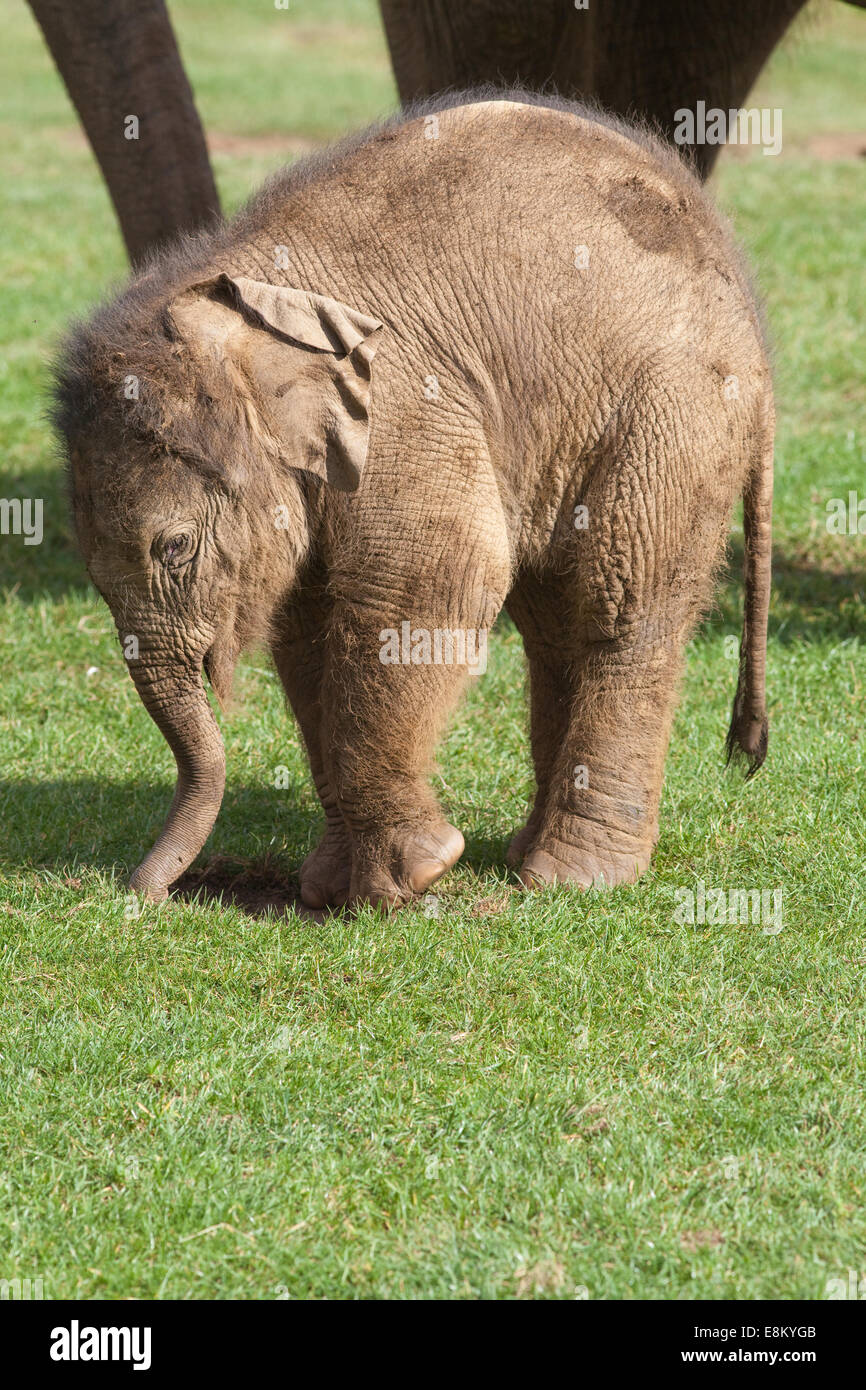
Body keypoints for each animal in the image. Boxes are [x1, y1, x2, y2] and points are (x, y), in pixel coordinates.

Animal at [52, 89, 772, 911]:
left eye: (175, 548)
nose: (141, 893)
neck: (237, 293)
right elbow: (308, 627)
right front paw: (330, 887)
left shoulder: (404, 404)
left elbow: (429, 582)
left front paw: (408, 879)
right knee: (556, 617)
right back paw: (528, 853)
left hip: (675, 414)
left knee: (620, 604)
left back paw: (575, 878)